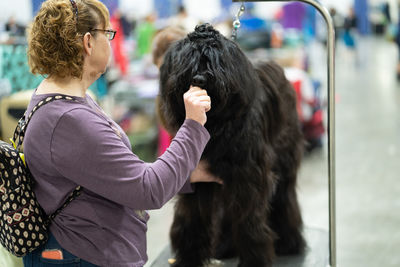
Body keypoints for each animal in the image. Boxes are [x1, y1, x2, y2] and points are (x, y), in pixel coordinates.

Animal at [158, 24, 304, 266]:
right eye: (188, 59)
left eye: (214, 59)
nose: (199, 79)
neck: (215, 125)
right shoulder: (195, 180)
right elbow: (191, 220)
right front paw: (188, 258)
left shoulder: (249, 178)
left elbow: (249, 222)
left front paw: (255, 260)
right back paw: (224, 248)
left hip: (283, 161)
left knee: (284, 198)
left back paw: (289, 243)